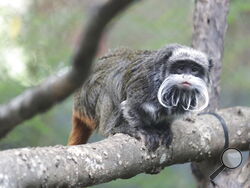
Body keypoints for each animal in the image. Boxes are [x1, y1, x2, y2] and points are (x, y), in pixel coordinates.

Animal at [68, 43, 213, 151]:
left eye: (194, 70)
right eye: (181, 68)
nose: (187, 76)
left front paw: (164, 128)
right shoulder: (144, 83)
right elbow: (130, 107)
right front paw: (145, 130)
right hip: (89, 101)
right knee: (112, 81)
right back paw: (114, 128)